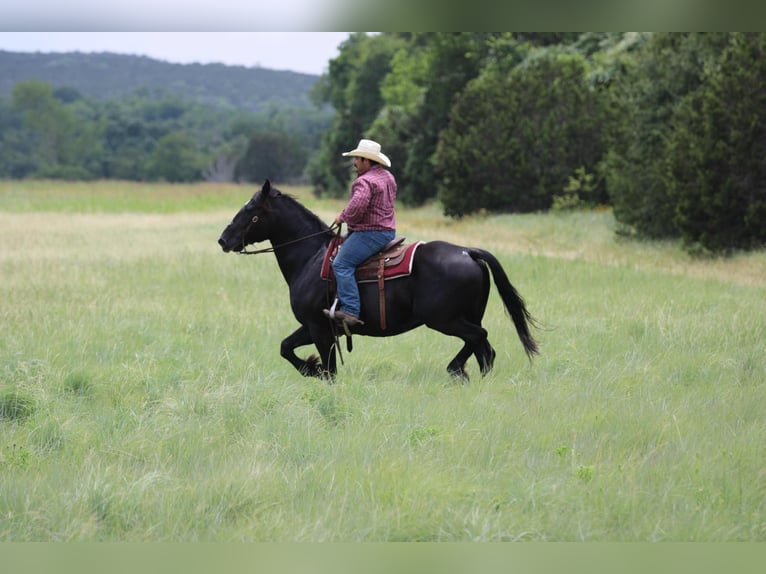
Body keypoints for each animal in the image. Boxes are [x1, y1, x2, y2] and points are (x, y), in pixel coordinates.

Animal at [216, 182, 540, 380]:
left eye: (251, 211)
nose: (223, 239)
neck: (310, 257)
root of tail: (468, 251)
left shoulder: (319, 328)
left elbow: (329, 371)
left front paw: (315, 369)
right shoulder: (312, 326)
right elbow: (285, 347)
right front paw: (311, 367)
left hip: (445, 319)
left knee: (480, 340)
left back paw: (457, 370)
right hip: (464, 317)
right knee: (484, 349)